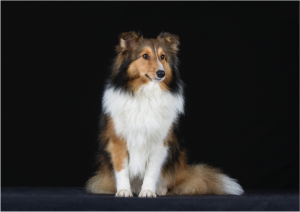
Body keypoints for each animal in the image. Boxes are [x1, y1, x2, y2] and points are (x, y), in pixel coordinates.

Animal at [85, 31, 244, 197]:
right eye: (145, 56)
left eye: (162, 57)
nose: (161, 73)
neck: (147, 94)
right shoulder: (118, 140)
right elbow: (122, 168)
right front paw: (123, 191)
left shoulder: (160, 142)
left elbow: (152, 170)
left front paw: (148, 191)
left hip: (178, 154)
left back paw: (159, 189)